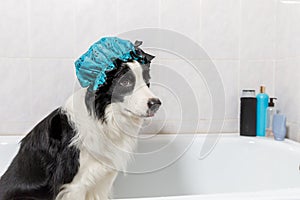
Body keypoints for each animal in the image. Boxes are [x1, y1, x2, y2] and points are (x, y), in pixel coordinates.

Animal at [0, 38, 162, 200]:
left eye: (147, 80)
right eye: (125, 82)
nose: (156, 104)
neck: (102, 119)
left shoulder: (101, 181)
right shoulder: (73, 186)